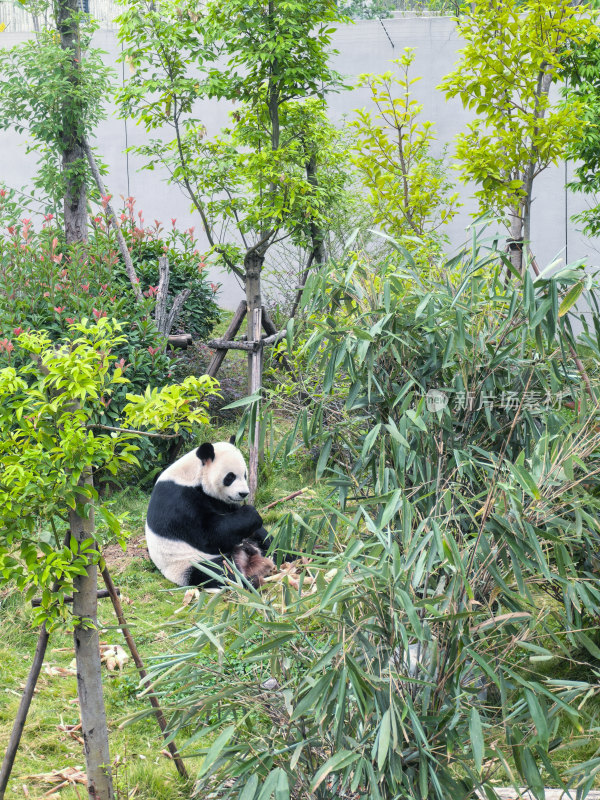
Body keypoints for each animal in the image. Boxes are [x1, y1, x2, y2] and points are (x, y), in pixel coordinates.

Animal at [145, 440, 276, 592]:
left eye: (244, 475)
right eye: (230, 477)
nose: (243, 493)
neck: (192, 476)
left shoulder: (219, 501)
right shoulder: (179, 501)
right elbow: (210, 535)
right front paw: (251, 512)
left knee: (271, 545)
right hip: (189, 564)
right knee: (221, 572)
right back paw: (251, 581)